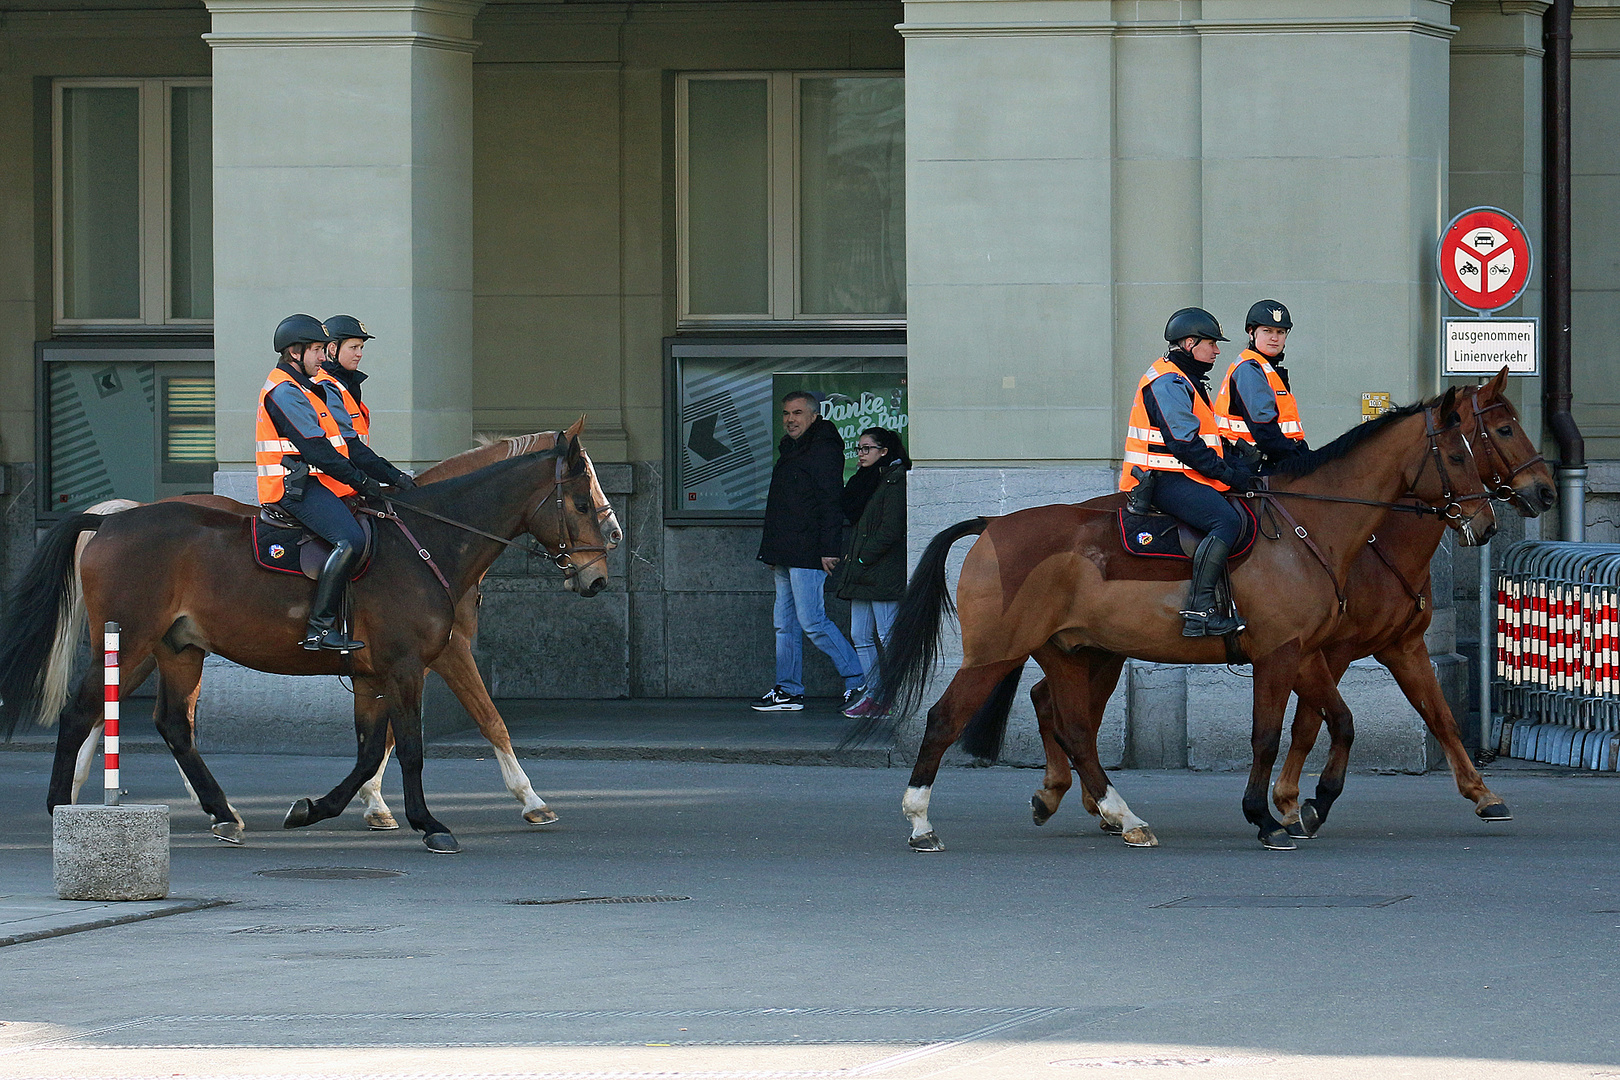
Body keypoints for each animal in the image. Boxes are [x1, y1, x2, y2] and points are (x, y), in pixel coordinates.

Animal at [0, 430, 609, 854]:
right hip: (131, 641)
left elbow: (371, 751)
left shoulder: (374, 675)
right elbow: (425, 741)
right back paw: (62, 805)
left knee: (171, 723)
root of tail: (111, 522)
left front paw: (322, 808)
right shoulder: (410, 665)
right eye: (582, 502)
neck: (427, 541)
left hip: (177, 650)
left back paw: (220, 811)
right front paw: (434, 821)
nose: (598, 577)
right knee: (82, 711)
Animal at [874, 388, 1490, 854]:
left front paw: (1302, 805)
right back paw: (921, 822)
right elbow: (1269, 735)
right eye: (1462, 454)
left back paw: (1119, 815)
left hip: (1068, 650)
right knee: (945, 719)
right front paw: (1266, 816)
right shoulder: (1282, 653)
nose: (1484, 523)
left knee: (1073, 728)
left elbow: (1339, 721)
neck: (1308, 527)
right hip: (995, 653)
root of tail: (993, 525)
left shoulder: (1308, 652)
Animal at [1010, 375, 1555, 841]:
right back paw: (1097, 805)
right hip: (1088, 651)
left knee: (1053, 705)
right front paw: (1289, 805)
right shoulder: (1314, 651)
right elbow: (1299, 726)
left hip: (1098, 650)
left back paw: (1076, 799)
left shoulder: (1395, 647)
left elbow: (1431, 717)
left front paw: (1482, 795)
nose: (1543, 492)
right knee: (1068, 717)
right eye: (1501, 430)